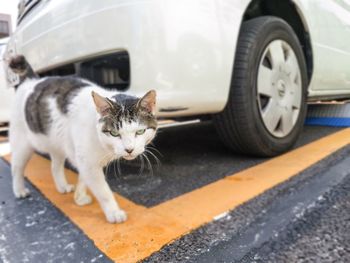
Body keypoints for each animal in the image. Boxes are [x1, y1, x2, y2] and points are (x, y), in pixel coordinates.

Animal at [7, 55, 157, 225]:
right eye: (114, 133)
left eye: (140, 131)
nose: (129, 149)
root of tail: (30, 81)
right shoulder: (88, 162)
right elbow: (103, 191)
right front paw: (113, 212)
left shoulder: (84, 160)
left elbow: (83, 178)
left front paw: (79, 197)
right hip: (21, 144)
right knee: (16, 168)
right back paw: (19, 190)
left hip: (57, 145)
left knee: (55, 167)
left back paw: (62, 186)